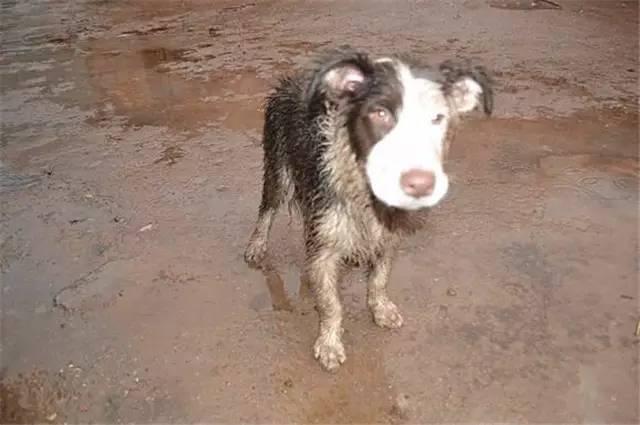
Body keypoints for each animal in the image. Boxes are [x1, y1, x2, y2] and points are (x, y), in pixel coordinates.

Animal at [245, 45, 496, 372]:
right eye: (380, 114)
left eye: (437, 118)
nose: (420, 183)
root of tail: (290, 80)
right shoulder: (326, 241)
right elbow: (331, 303)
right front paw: (329, 343)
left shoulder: (386, 237)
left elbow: (379, 279)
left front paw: (380, 309)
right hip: (279, 168)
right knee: (267, 209)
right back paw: (256, 245)